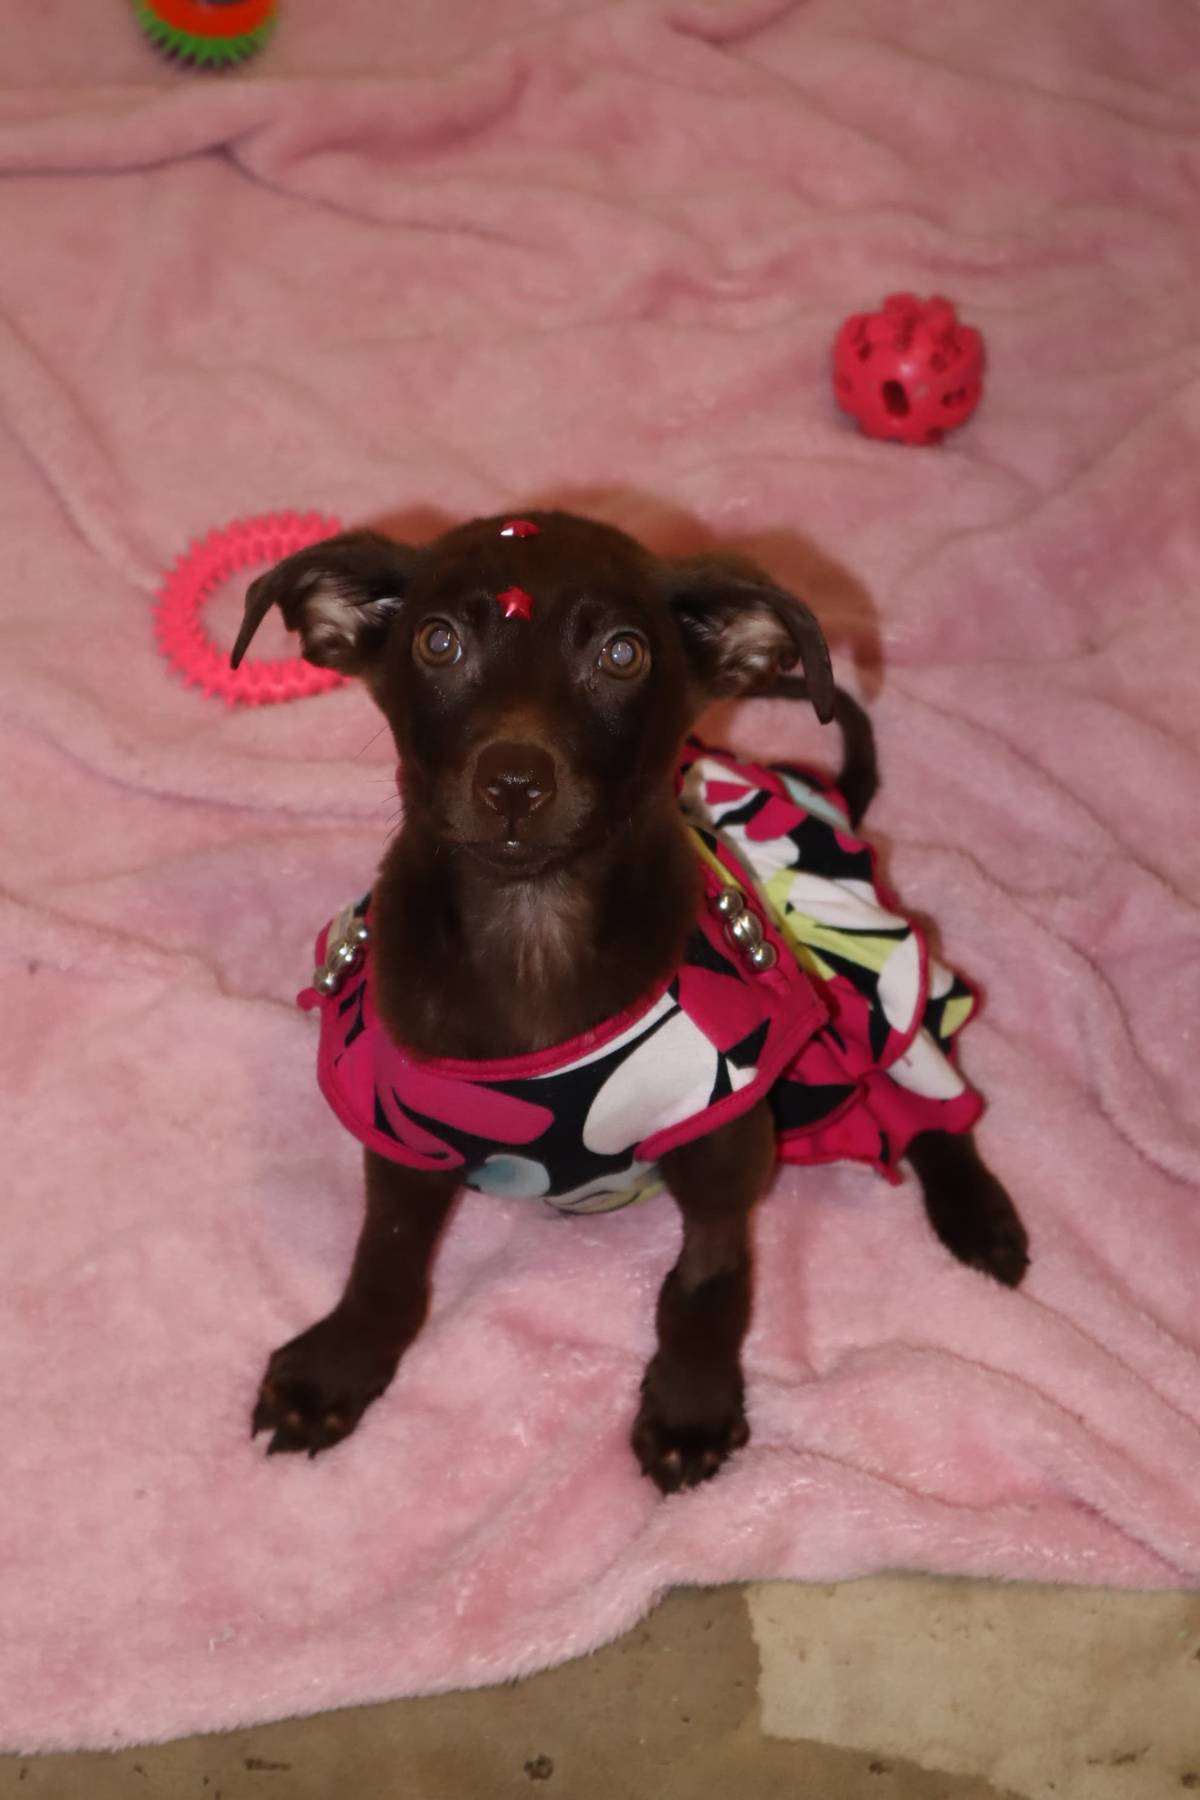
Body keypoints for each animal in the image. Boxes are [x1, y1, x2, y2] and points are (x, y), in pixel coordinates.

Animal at [233, 509, 1029, 1494]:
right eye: (437, 641)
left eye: (622, 654)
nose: (513, 781)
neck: (534, 930)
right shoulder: (404, 1132)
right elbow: (385, 1257)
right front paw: (337, 1367)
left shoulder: (723, 1132)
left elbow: (706, 1278)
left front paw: (690, 1402)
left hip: (871, 984)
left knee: (927, 1094)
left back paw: (978, 1216)